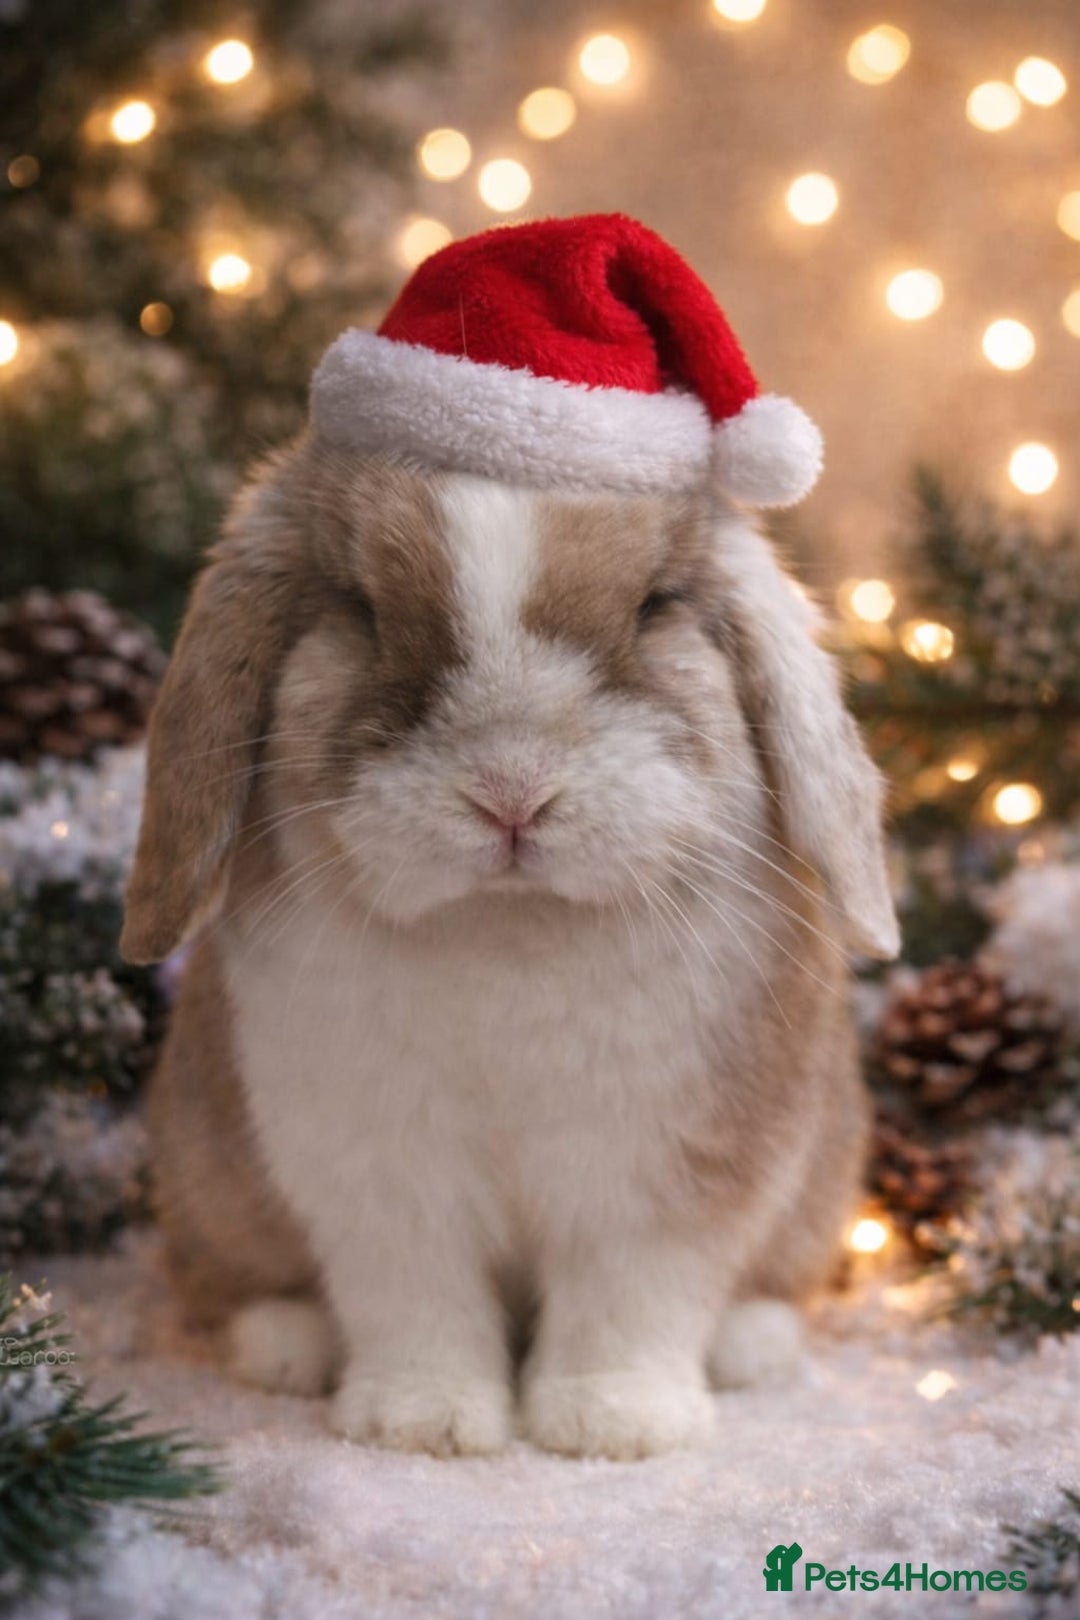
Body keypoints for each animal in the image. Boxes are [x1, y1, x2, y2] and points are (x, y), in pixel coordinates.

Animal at [121, 437, 899, 1460]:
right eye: (360, 608)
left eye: (656, 605)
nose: (512, 793)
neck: (511, 925)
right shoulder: (377, 1173)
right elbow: (414, 1296)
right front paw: (424, 1423)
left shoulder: (667, 1177)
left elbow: (630, 1297)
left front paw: (613, 1426)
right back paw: (284, 1347)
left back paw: (750, 1348)